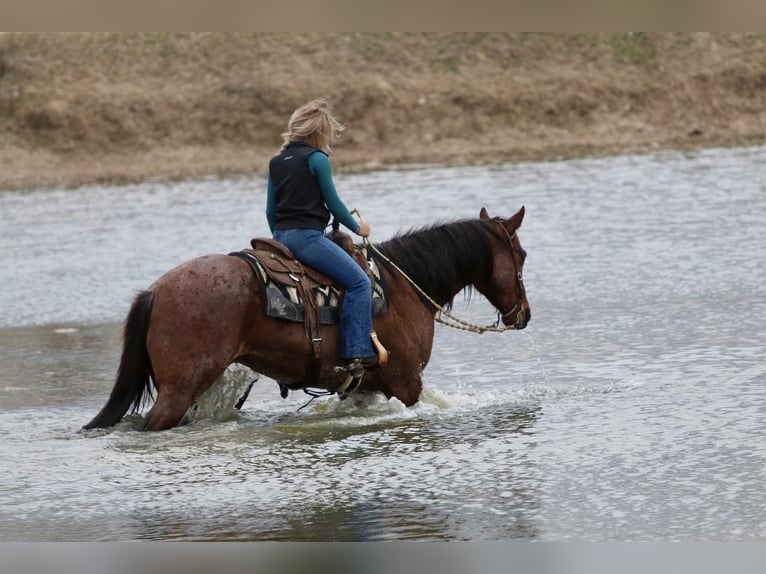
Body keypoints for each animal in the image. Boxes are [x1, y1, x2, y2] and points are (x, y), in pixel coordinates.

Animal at [83, 206, 530, 431]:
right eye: (521, 255)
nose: (523, 314)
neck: (404, 283)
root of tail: (156, 292)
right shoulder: (407, 383)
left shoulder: (366, 390)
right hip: (180, 389)